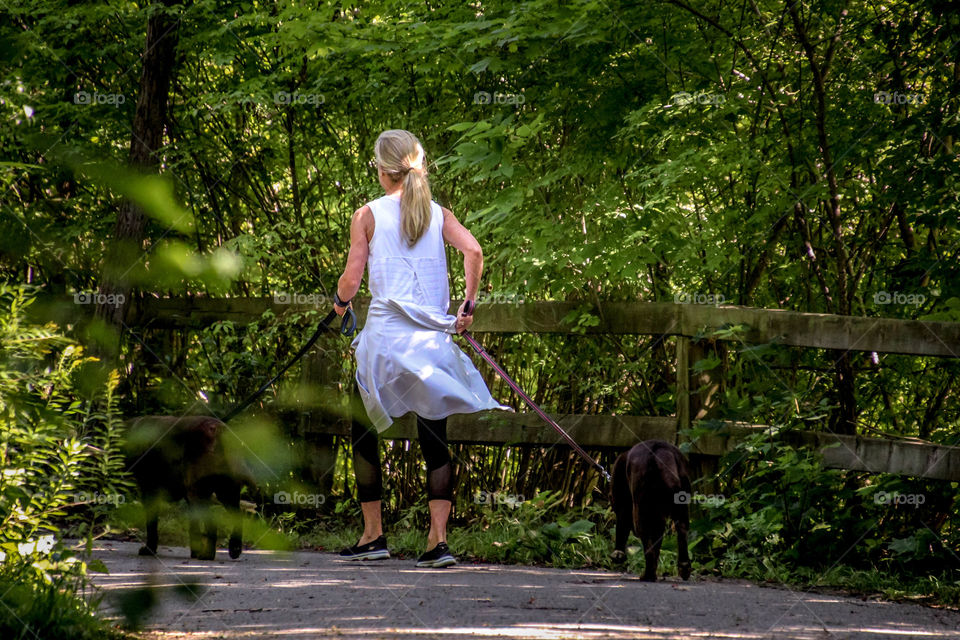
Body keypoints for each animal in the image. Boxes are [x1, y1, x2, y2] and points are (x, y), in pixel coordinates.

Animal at [124, 416, 255, 560]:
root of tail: (218, 429)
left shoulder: (150, 491)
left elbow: (151, 526)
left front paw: (149, 549)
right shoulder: (188, 497)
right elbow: (194, 528)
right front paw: (194, 551)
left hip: (201, 495)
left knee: (213, 525)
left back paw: (207, 555)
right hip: (225, 493)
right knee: (238, 518)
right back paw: (234, 549)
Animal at [612, 440, 692, 580]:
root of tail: (661, 449)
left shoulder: (623, 507)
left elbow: (621, 529)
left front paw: (618, 554)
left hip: (641, 512)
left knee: (647, 544)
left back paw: (648, 575)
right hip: (680, 508)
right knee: (681, 532)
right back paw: (684, 568)